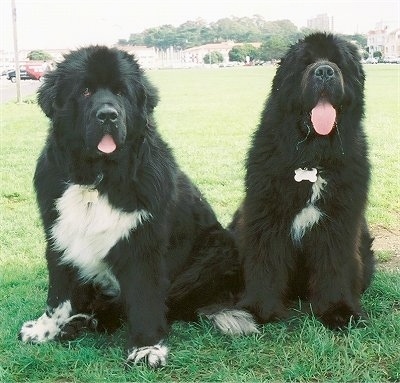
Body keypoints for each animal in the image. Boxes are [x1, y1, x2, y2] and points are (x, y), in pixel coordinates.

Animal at [228, 33, 376, 330]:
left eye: (338, 62)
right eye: (306, 63)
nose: (325, 71)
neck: (312, 159)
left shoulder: (338, 223)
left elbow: (335, 266)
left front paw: (338, 310)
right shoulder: (266, 217)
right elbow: (265, 262)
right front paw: (259, 309)